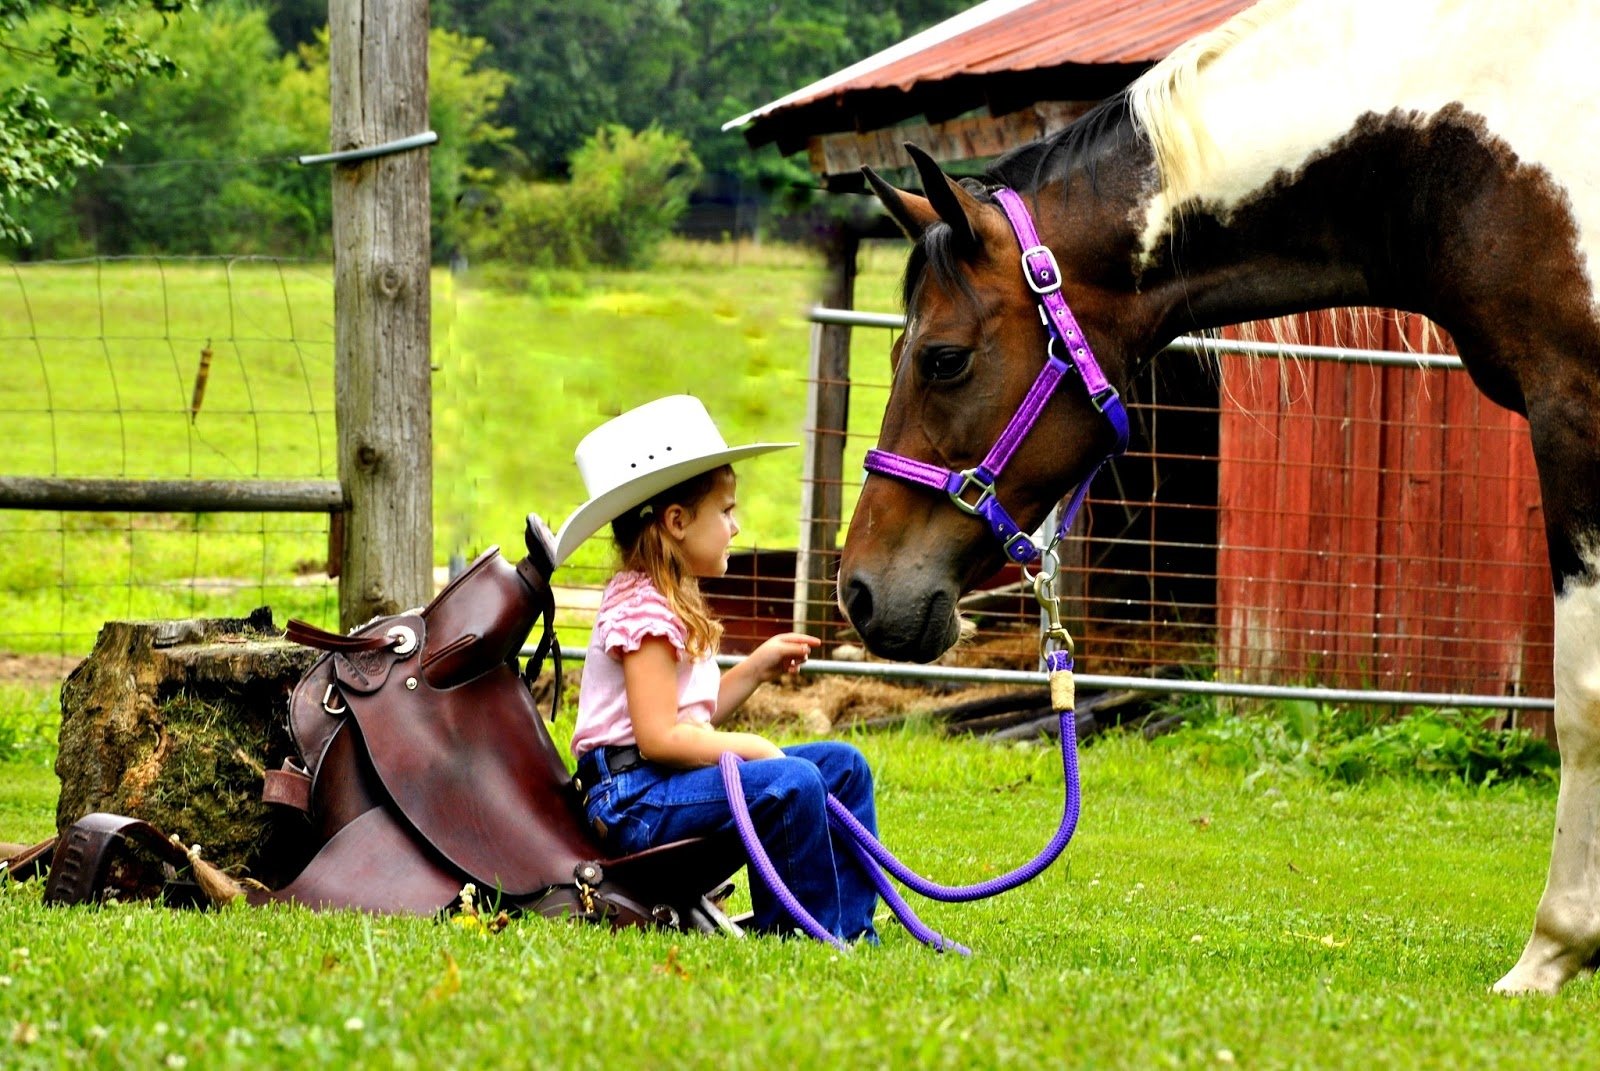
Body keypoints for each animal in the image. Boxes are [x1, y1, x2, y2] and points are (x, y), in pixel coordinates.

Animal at [837, 0, 1600, 994]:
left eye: (942, 359)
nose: (859, 591)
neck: (1490, 146)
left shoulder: (1574, 411)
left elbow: (1581, 696)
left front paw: (1554, 950)